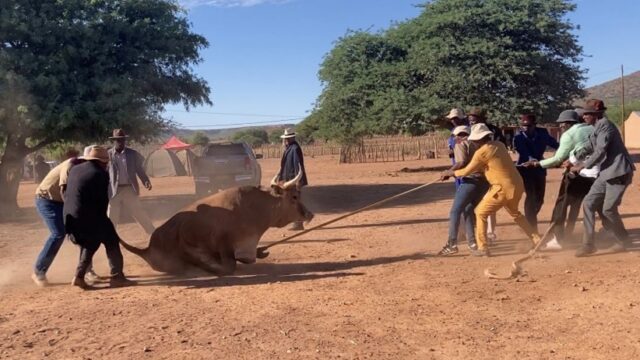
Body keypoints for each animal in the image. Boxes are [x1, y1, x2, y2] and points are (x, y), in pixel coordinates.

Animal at [120, 172, 312, 276]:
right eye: (294, 196)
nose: (309, 214)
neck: (255, 208)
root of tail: (147, 250)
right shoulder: (223, 241)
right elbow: (229, 265)